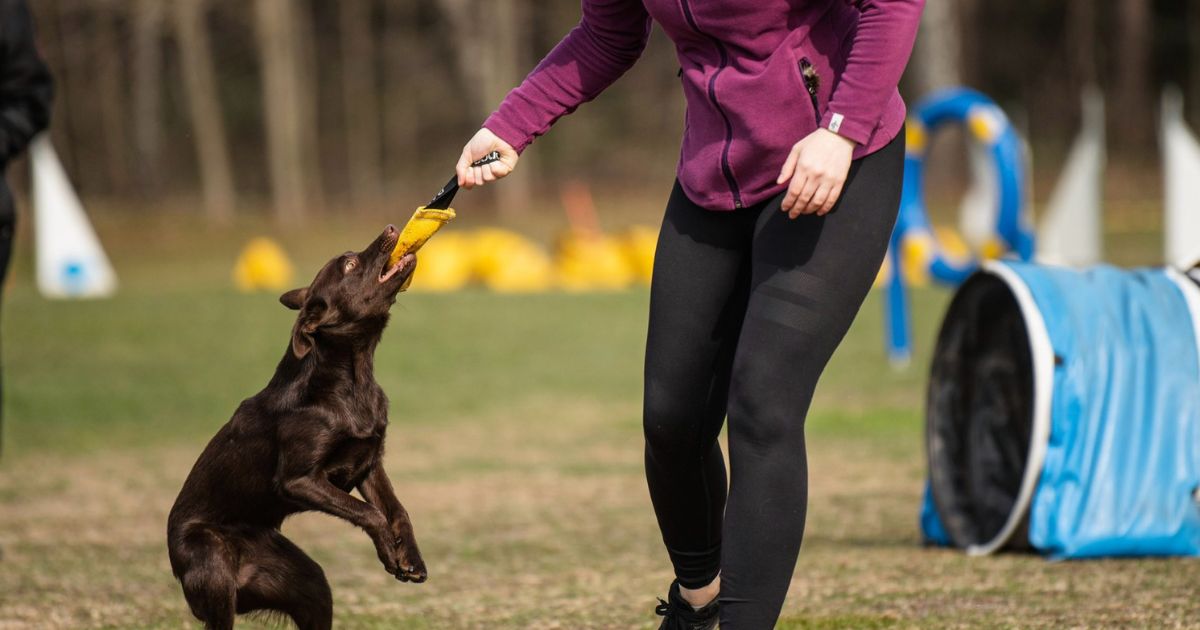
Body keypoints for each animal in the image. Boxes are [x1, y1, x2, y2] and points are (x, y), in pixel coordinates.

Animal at [166, 225, 429, 628]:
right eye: (349, 265)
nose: (390, 229)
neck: (351, 379)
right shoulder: (299, 479)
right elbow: (369, 513)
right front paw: (388, 551)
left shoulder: (369, 464)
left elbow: (398, 511)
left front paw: (411, 559)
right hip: (213, 564)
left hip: (308, 585)